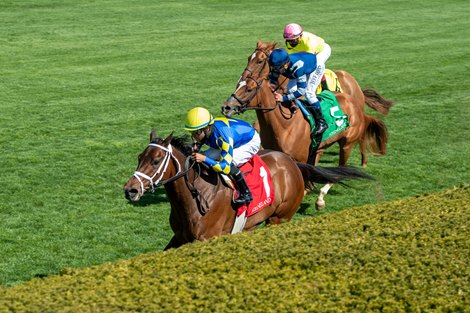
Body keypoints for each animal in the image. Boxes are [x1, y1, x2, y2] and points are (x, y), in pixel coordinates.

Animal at [123, 129, 372, 249]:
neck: (195, 198)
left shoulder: (206, 239)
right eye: (139, 157)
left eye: (156, 161)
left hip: (279, 218)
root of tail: (293, 163)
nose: (130, 190)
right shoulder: (179, 238)